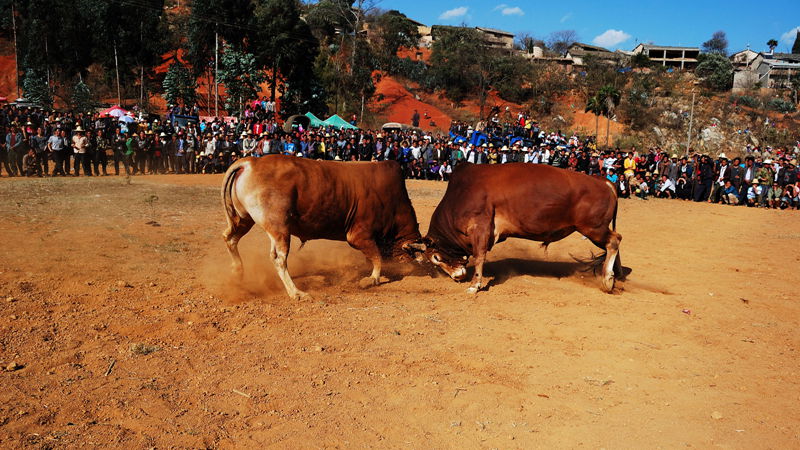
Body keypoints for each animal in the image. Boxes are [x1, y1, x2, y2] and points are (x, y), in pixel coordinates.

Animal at [223, 155, 424, 298]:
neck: (394, 203)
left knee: (230, 238)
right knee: (279, 259)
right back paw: (296, 293)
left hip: (245, 220)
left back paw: (237, 273)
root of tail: (252, 162)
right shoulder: (360, 236)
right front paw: (373, 279)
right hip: (279, 228)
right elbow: (377, 257)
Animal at [422, 163, 620, 294]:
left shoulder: (481, 227)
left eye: (436, 257)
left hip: (593, 228)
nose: (456, 277)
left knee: (614, 240)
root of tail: (603, 182)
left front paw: (474, 285)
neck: (460, 193)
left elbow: (479, 257)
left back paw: (607, 279)